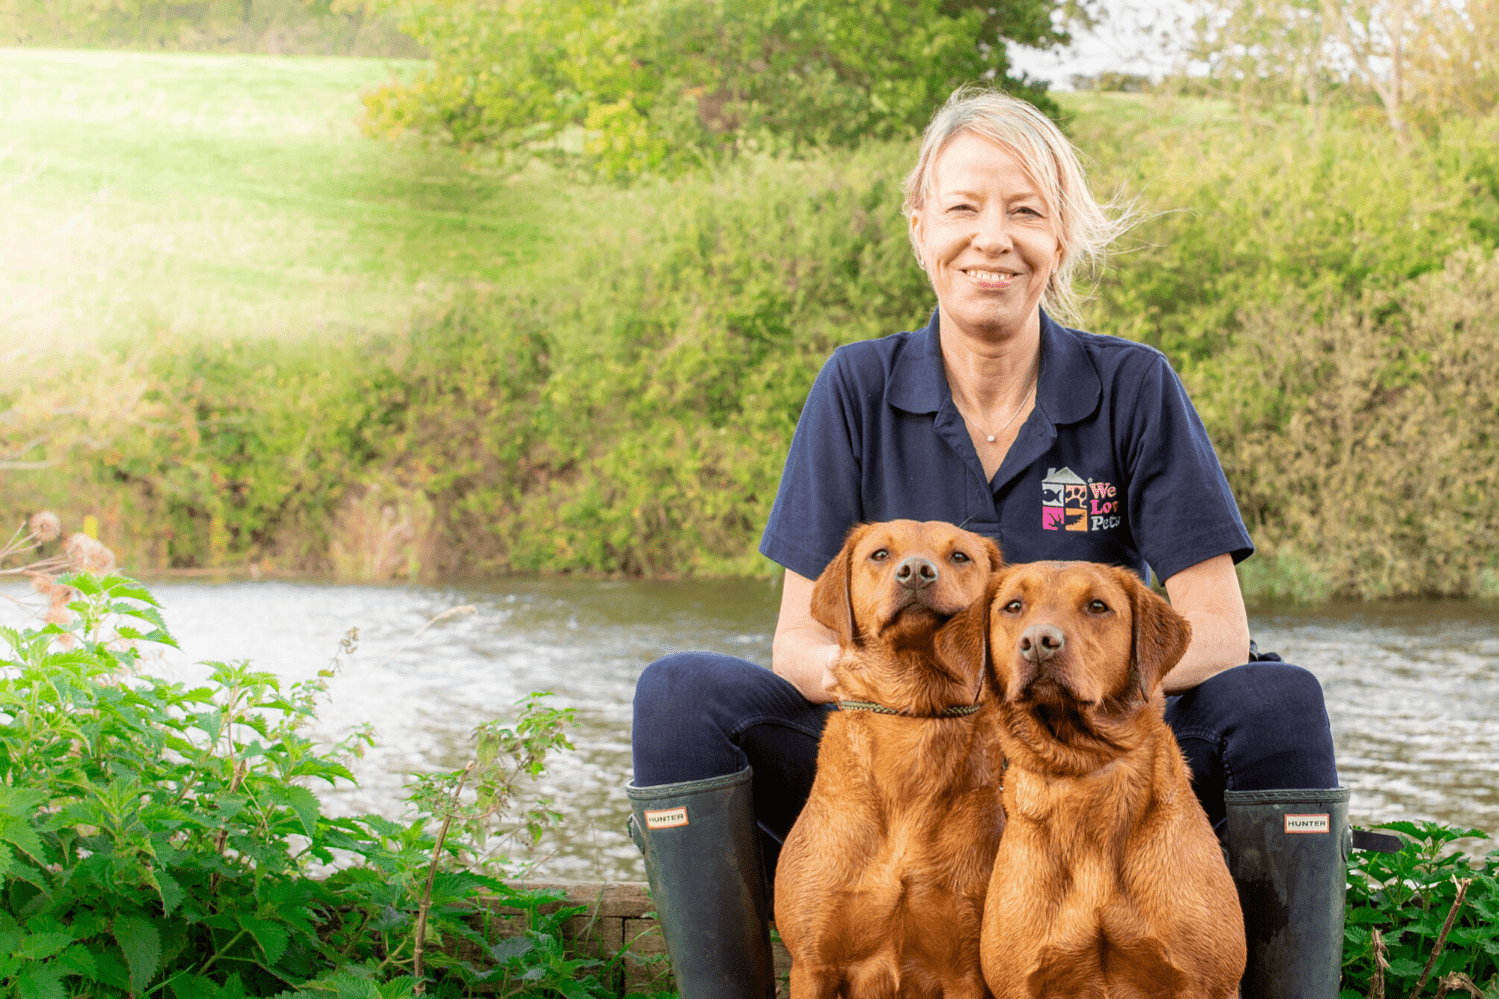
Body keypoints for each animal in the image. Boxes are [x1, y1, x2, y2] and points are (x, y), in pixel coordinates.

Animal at [773, 522, 1007, 996]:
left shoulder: (967, 971)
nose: (916, 570)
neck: (912, 713)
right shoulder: (812, 964)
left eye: (960, 556)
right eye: (880, 554)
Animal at [941, 561, 1247, 996]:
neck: (1083, 766)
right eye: (1013, 606)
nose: (1039, 641)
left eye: (1097, 606)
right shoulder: (1020, 981)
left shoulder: (1207, 981)